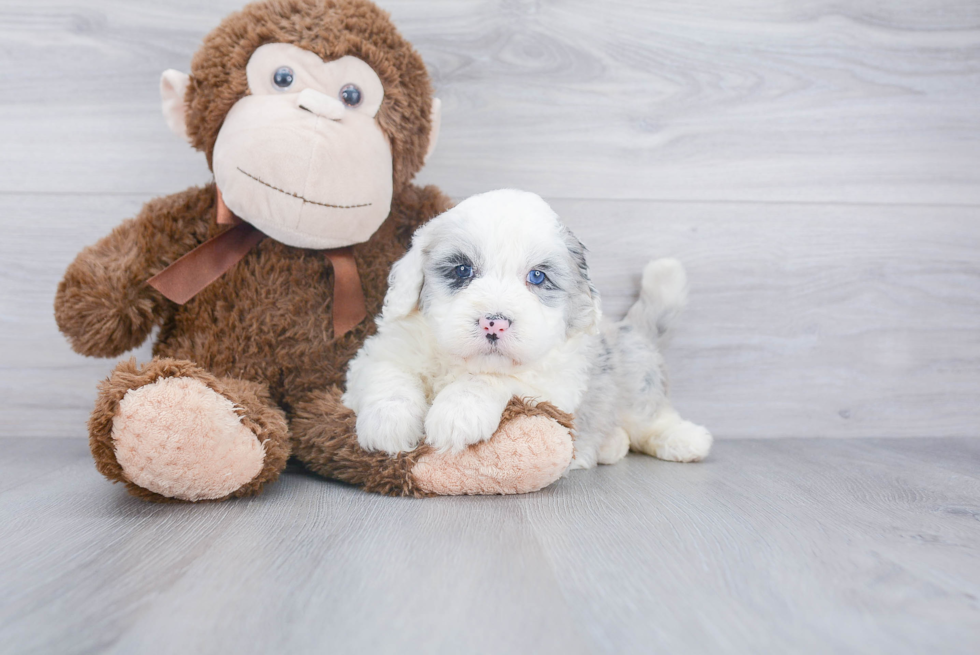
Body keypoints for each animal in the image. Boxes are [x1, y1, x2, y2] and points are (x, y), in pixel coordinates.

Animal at [344, 187, 712, 468]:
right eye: (462, 270)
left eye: (537, 276)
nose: (494, 322)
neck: (460, 363)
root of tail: (632, 329)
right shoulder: (377, 355)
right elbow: (390, 376)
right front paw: (388, 424)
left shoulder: (554, 385)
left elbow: (494, 379)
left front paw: (457, 412)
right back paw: (610, 446)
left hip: (639, 392)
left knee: (652, 419)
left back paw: (687, 441)